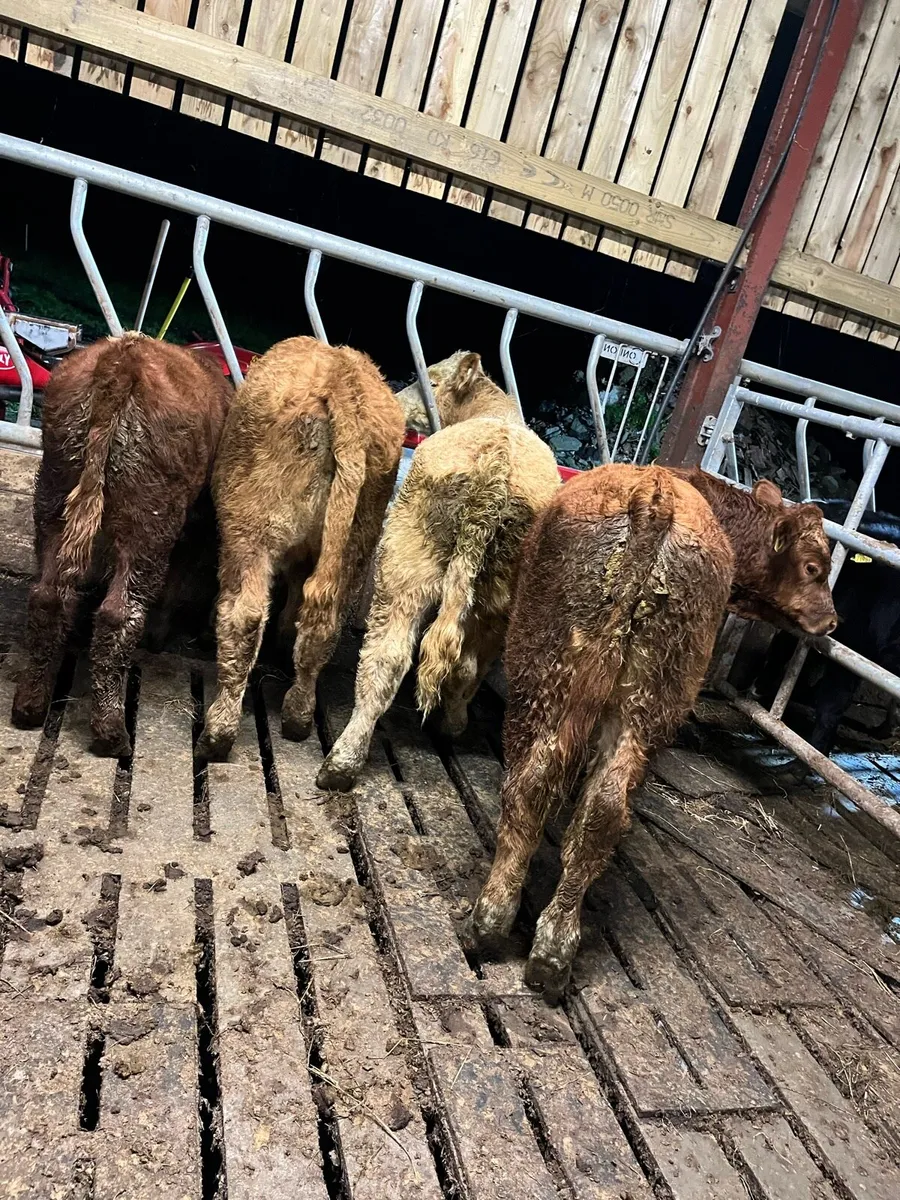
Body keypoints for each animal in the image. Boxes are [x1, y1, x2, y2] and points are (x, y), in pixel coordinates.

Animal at [11, 332, 231, 756]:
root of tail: (123, 359)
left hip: (53, 493)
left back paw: (29, 706)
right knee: (120, 612)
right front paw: (159, 637)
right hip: (148, 520)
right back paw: (111, 732)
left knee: (48, 595)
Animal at [197, 336, 405, 761]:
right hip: (356, 543)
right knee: (323, 623)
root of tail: (341, 377)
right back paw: (298, 715)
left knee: (245, 616)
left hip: (252, 530)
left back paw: (218, 733)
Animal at [317, 351, 560, 792]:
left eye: (429, 379)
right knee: (464, 664)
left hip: (402, 564)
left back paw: (341, 764)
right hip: (496, 596)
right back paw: (446, 725)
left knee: (386, 658)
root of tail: (496, 460)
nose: (396, 402)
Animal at [471, 465, 836, 998]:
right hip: (628, 693)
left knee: (550, 791)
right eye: (813, 567)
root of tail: (655, 496)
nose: (832, 621)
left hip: (562, 677)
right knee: (576, 800)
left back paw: (511, 932)